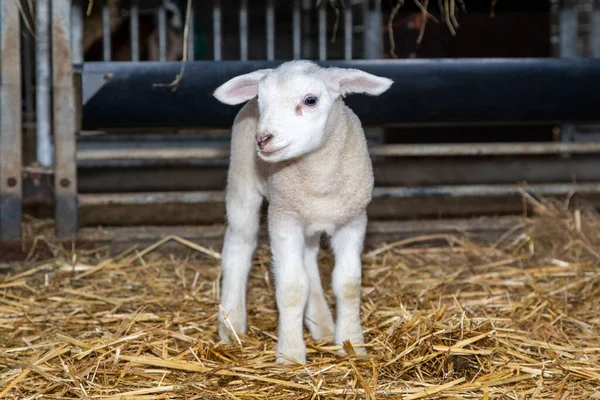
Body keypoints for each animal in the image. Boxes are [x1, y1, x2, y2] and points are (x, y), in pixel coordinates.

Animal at [212, 60, 394, 366]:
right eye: (261, 100)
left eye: (310, 100)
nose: (263, 139)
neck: (319, 175)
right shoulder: (284, 220)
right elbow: (292, 288)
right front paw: (290, 354)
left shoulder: (353, 221)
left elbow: (348, 285)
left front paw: (352, 343)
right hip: (242, 180)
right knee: (239, 245)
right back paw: (232, 323)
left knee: (308, 260)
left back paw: (321, 323)